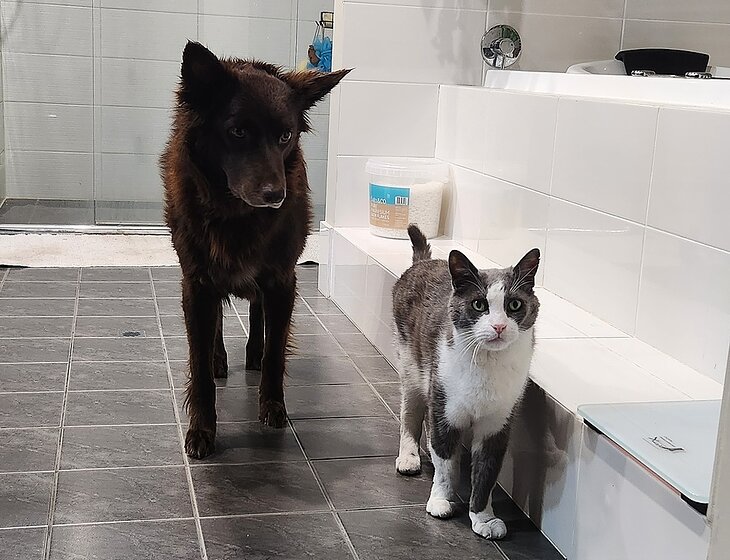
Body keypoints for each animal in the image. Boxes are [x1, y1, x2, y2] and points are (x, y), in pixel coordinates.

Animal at [160, 41, 349, 458]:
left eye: (286, 135)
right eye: (238, 131)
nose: (275, 196)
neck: (235, 213)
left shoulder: (282, 280)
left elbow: (276, 350)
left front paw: (273, 405)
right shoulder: (196, 282)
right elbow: (198, 363)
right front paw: (202, 429)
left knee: (257, 313)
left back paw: (253, 354)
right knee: (217, 322)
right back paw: (220, 358)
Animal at [392, 224, 540, 540]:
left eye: (514, 304)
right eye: (478, 304)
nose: (499, 326)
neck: (488, 365)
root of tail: (424, 262)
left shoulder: (498, 424)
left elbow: (486, 473)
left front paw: (484, 518)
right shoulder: (444, 407)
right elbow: (446, 465)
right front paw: (440, 501)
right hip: (411, 365)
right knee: (411, 413)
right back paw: (409, 457)